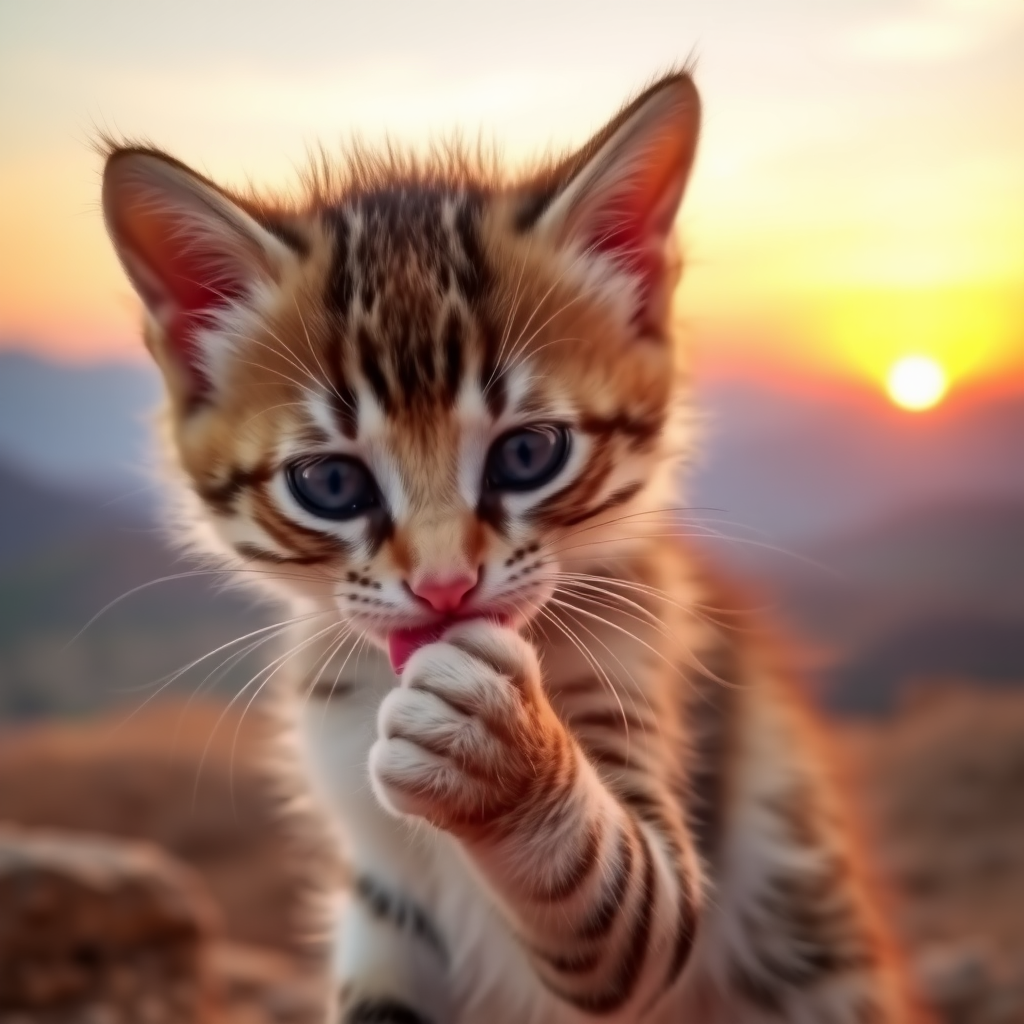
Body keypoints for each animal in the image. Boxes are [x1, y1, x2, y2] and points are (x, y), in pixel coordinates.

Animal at [101, 74, 921, 1024]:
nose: (444, 585)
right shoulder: (383, 894)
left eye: (528, 455)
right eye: (331, 483)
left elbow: (617, 899)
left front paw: (498, 758)